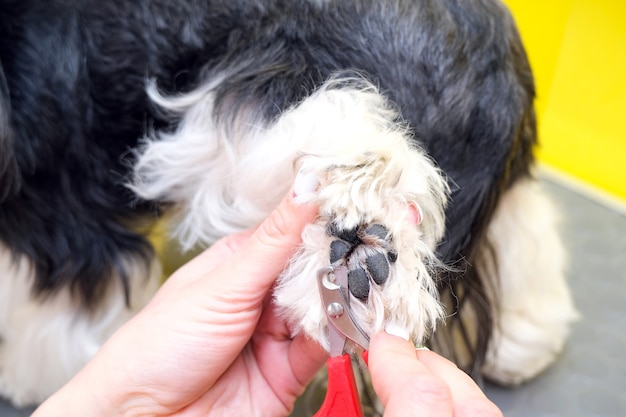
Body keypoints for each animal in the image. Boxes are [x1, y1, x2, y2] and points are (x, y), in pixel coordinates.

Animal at [0, 0, 576, 406]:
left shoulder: (59, 212)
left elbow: (52, 314)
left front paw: (36, 378)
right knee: (519, 230)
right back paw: (522, 338)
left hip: (253, 117)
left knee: (372, 159)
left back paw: (362, 253)